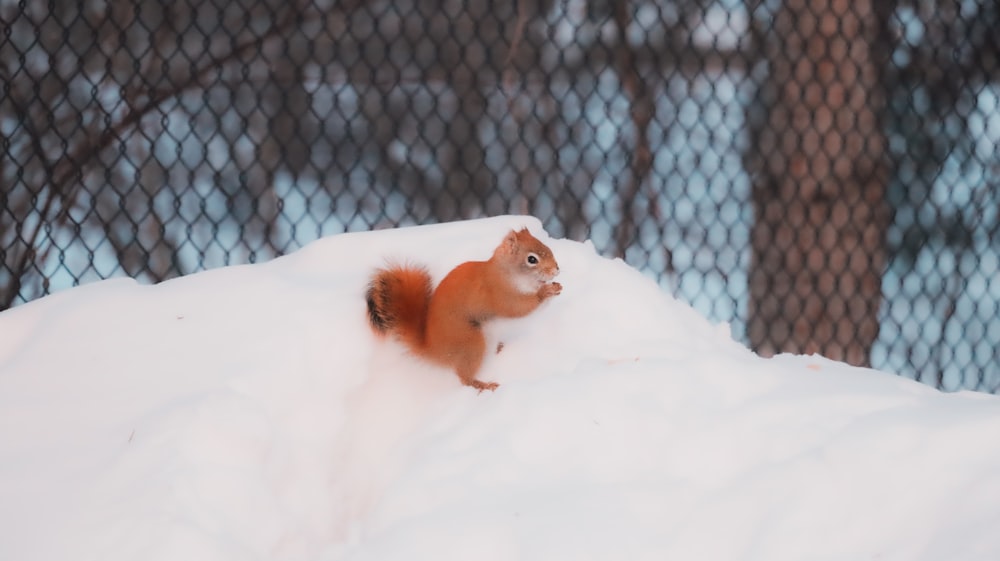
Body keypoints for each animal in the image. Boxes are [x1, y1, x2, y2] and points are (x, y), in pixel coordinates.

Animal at [366, 226, 564, 390]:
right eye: (532, 259)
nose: (556, 269)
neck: (506, 273)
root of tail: (432, 349)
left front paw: (556, 287)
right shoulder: (500, 294)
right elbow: (519, 308)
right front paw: (545, 291)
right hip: (472, 342)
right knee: (464, 378)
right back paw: (483, 385)